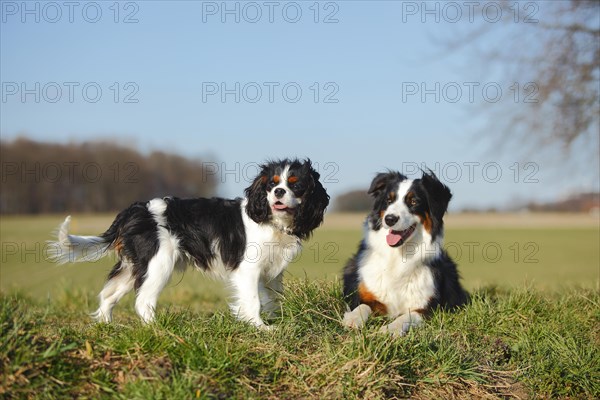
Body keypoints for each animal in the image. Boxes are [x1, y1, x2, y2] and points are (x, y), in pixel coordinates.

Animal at [49, 159, 330, 328]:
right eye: (271, 185)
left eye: (296, 186)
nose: (278, 192)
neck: (273, 222)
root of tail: (136, 210)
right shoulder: (248, 270)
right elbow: (253, 301)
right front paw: (260, 327)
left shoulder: (272, 272)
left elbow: (271, 298)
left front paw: (273, 320)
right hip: (158, 264)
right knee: (143, 300)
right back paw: (156, 329)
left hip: (134, 266)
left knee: (108, 295)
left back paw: (107, 326)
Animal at [342, 170, 468, 336]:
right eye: (388, 200)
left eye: (414, 201)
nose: (389, 219)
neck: (397, 256)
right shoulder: (366, 296)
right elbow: (362, 306)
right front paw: (353, 318)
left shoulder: (428, 308)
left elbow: (407, 316)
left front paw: (390, 329)